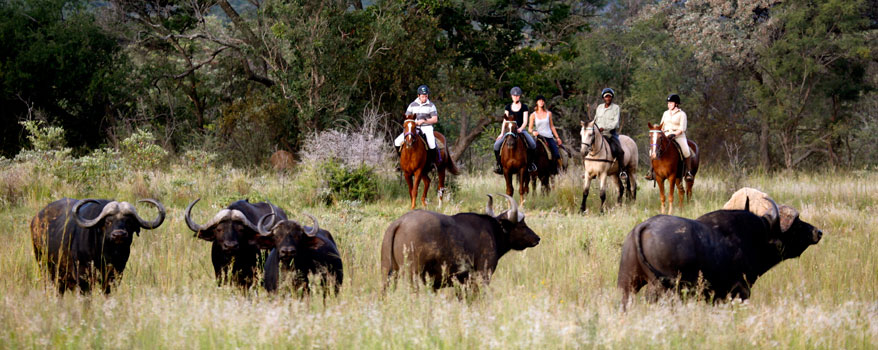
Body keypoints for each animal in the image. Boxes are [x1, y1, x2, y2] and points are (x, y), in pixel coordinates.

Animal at [31, 198, 167, 294]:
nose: (119, 235)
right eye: (108, 222)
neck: (106, 255)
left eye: (129, 222)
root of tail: (36, 218)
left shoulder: (115, 275)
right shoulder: (83, 277)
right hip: (44, 265)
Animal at [380, 194, 540, 290]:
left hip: (387, 275)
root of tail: (399, 222)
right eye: (521, 225)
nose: (537, 238)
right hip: (413, 275)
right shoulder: (483, 275)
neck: (493, 231)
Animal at [620, 190, 824, 308]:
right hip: (660, 289)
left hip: (627, 286)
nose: (818, 232)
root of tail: (643, 227)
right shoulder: (740, 291)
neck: (758, 236)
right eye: (796, 225)